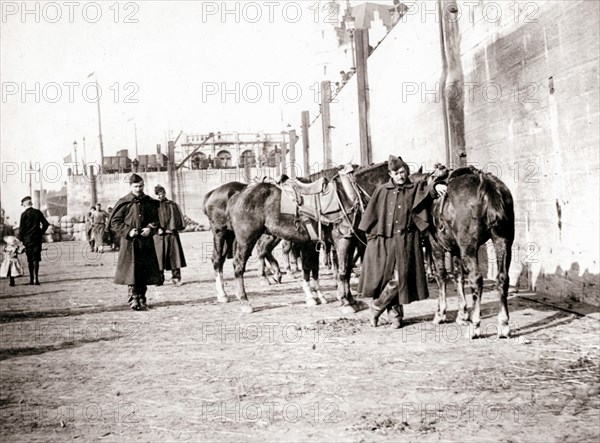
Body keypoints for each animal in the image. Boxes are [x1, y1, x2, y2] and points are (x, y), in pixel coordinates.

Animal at [225, 164, 390, 316]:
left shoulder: (348, 241)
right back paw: (245, 301)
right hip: (247, 239)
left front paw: (351, 300)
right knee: (240, 265)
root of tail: (237, 195)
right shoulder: (343, 240)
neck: (349, 194)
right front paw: (346, 302)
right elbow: (343, 272)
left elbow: (344, 270)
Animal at [412, 167, 516, 340]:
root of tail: (487, 184)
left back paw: (475, 326)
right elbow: (458, 276)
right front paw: (462, 314)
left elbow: (442, 276)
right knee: (502, 278)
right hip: (503, 241)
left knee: (476, 279)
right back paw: (504, 324)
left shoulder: (436, 246)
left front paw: (441, 313)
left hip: (469, 247)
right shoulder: (456, 250)